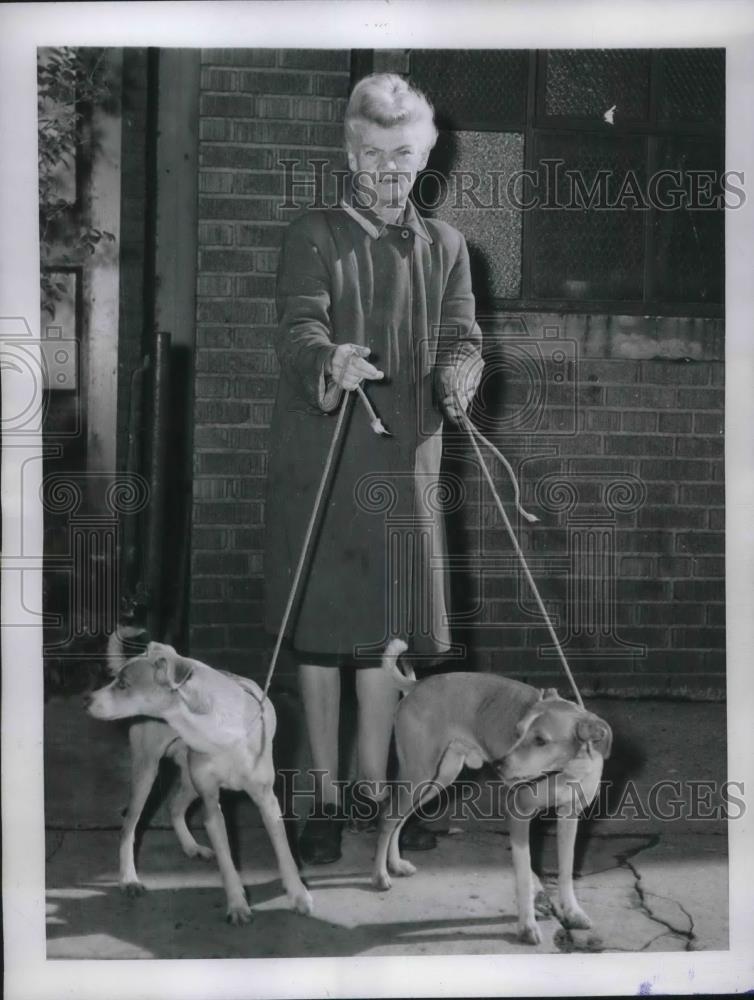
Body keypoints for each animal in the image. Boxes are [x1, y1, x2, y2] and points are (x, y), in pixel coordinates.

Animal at [86, 640, 310, 920]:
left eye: (123, 684)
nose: (87, 699)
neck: (217, 729)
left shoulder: (267, 801)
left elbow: (285, 853)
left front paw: (298, 895)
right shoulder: (211, 806)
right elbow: (227, 862)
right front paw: (237, 904)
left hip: (189, 781)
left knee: (174, 806)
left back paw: (191, 847)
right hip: (147, 771)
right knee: (129, 827)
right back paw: (129, 879)